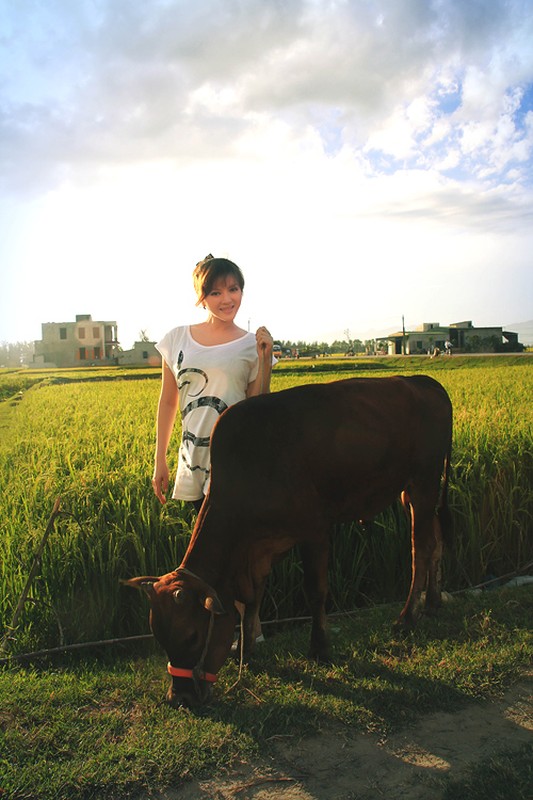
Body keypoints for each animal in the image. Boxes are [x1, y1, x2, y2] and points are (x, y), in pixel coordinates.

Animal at [123, 376, 448, 708]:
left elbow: (315, 592)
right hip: (412, 492)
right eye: (160, 638)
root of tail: (424, 382)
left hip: (424, 482)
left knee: (420, 549)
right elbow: (251, 600)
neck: (251, 467)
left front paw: (319, 648)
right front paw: (245, 653)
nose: (180, 697)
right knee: (436, 540)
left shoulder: (315, 530)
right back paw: (433, 602)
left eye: (192, 636)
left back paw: (407, 617)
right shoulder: (257, 551)